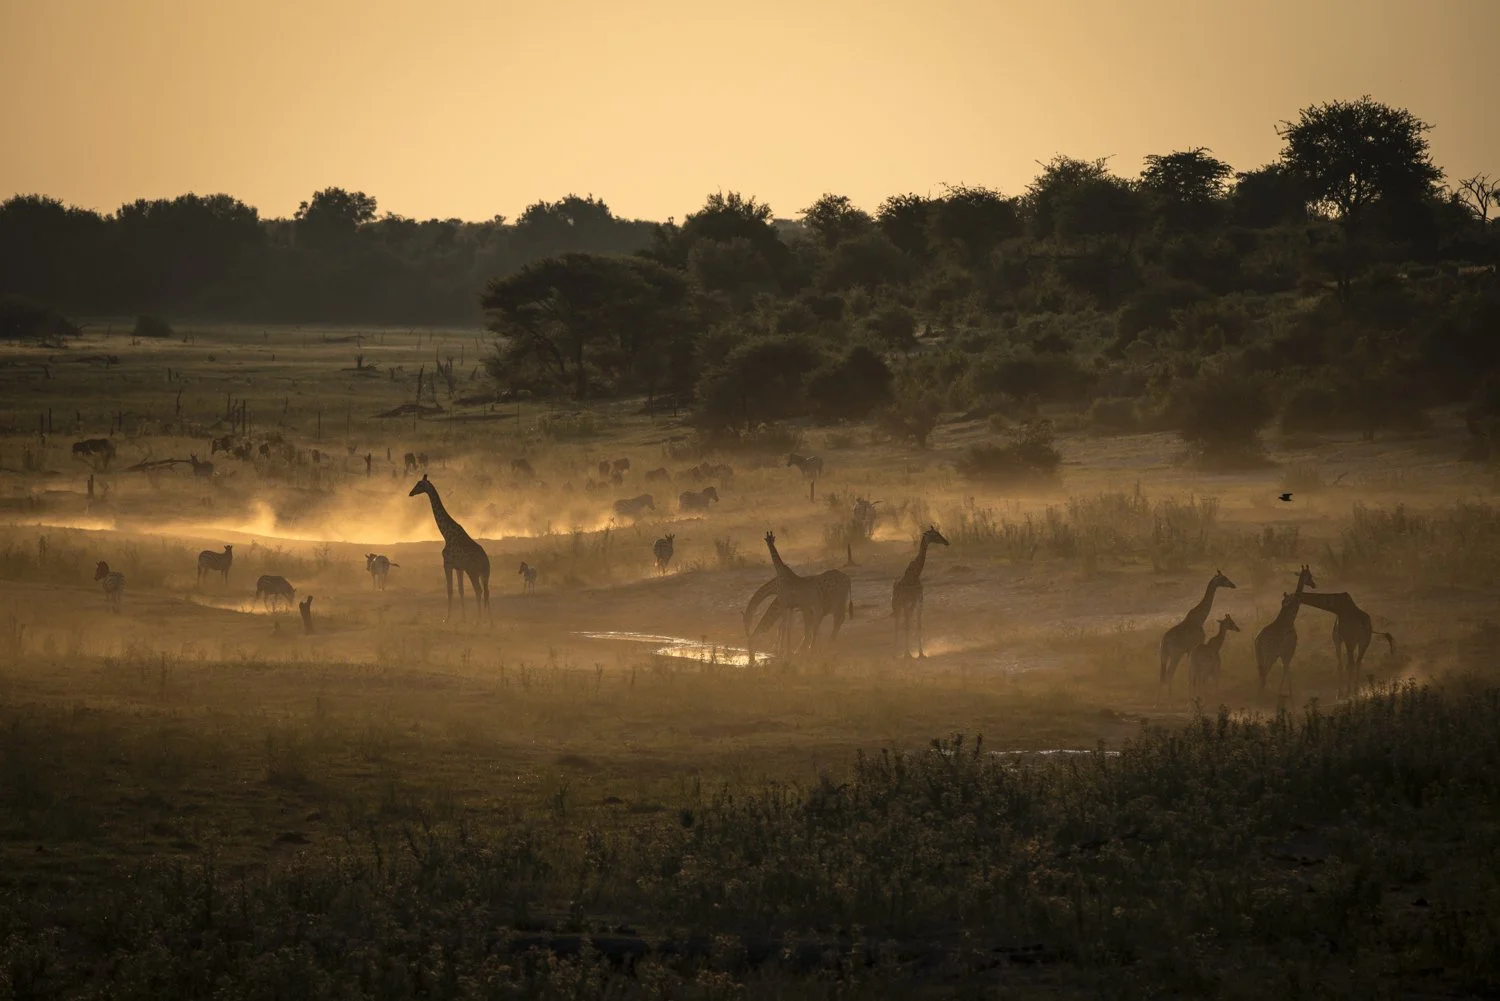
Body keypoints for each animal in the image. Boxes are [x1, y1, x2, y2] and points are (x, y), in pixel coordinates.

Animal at [408, 474, 491, 621]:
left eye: (419, 484)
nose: (410, 493)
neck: (446, 534)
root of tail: (485, 561)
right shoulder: (459, 567)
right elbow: (460, 590)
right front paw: (463, 618)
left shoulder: (447, 564)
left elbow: (450, 590)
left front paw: (447, 618)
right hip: (484, 573)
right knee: (487, 593)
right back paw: (490, 622)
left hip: (473, 571)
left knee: (479, 591)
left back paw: (479, 621)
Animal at [892, 525, 950, 659]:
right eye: (935, 534)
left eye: (938, 533)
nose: (946, 542)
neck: (915, 574)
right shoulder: (907, 601)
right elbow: (908, 624)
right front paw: (907, 654)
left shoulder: (918, 600)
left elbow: (918, 624)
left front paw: (921, 653)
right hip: (896, 606)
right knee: (898, 624)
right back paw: (895, 653)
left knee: (904, 621)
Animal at [1157, 570, 1236, 704]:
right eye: (1224, 578)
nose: (1233, 585)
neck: (1200, 618)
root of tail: (1164, 642)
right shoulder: (1198, 643)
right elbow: (1195, 674)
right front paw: (1196, 696)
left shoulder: (1190, 651)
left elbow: (1191, 673)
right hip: (1175, 655)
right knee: (1169, 674)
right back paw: (1170, 704)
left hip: (1164, 656)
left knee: (1162, 676)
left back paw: (1156, 703)